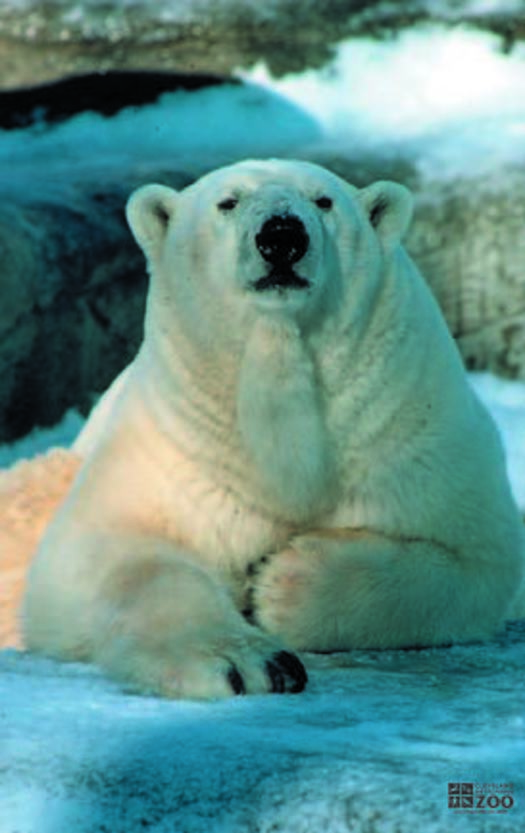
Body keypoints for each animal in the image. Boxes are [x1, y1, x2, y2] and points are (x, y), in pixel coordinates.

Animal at [22, 156, 520, 696]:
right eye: (228, 201)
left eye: (323, 200)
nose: (282, 236)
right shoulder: (172, 448)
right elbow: (108, 554)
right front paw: (249, 663)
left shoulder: (408, 426)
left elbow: (476, 560)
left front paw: (281, 582)